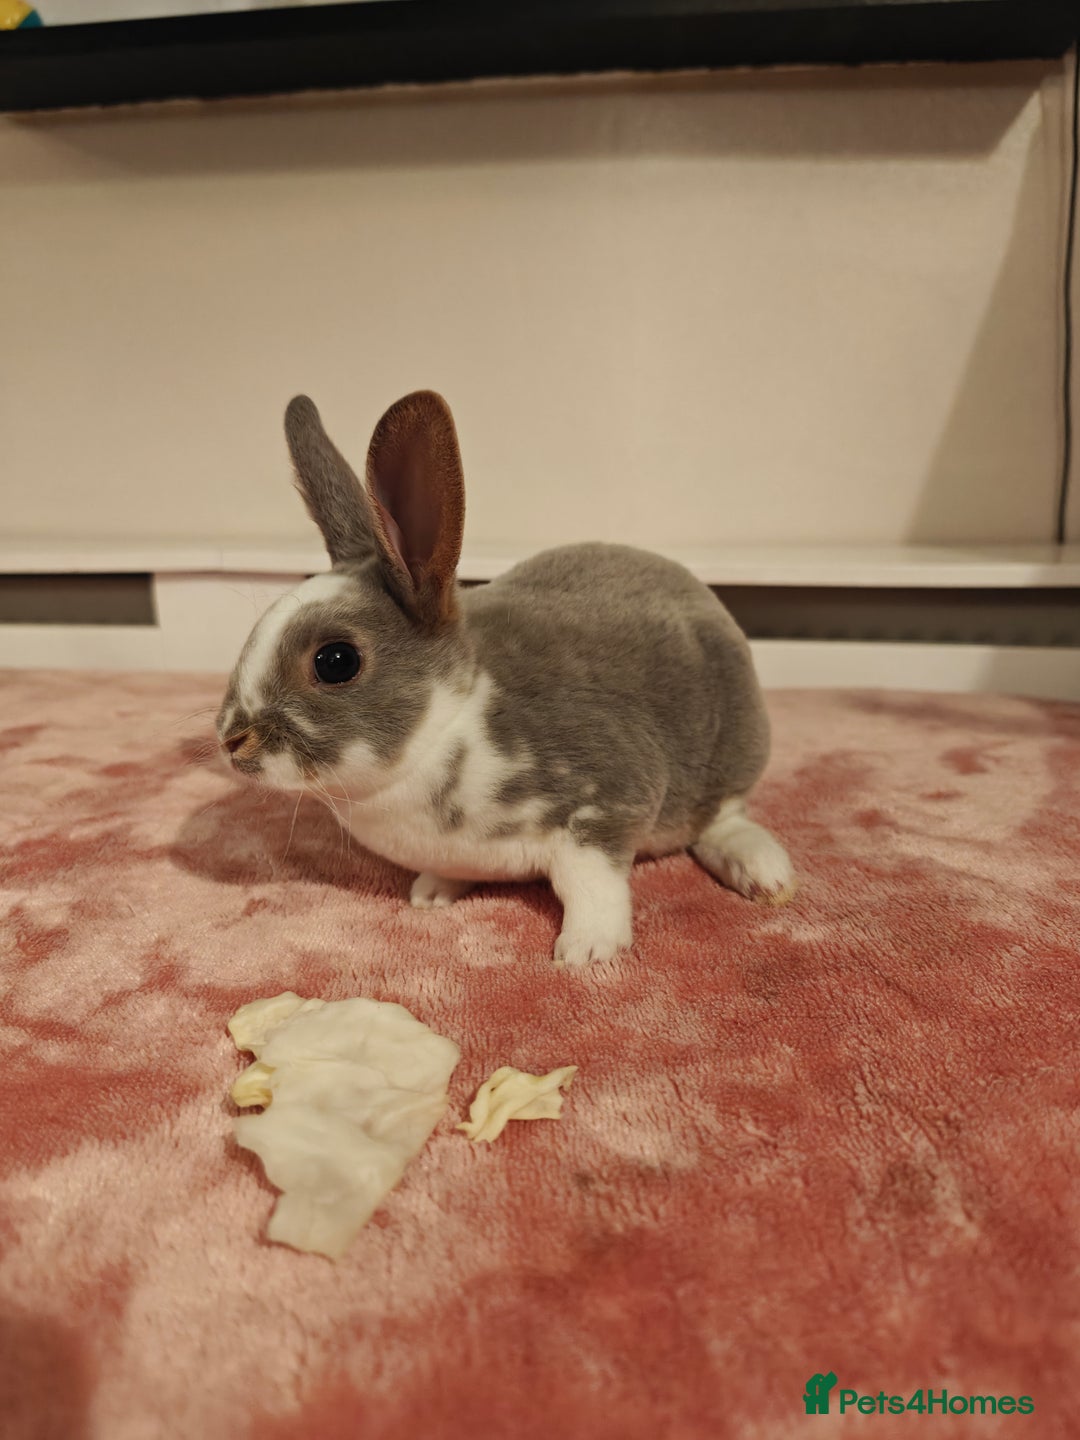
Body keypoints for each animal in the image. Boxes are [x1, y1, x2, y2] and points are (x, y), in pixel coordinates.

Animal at [217, 390, 795, 967]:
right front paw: (430, 895)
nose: (231, 740)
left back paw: (765, 875)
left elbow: (592, 885)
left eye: (336, 661)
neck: (446, 725)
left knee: (724, 817)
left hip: (733, 751)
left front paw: (586, 952)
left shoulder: (608, 802)